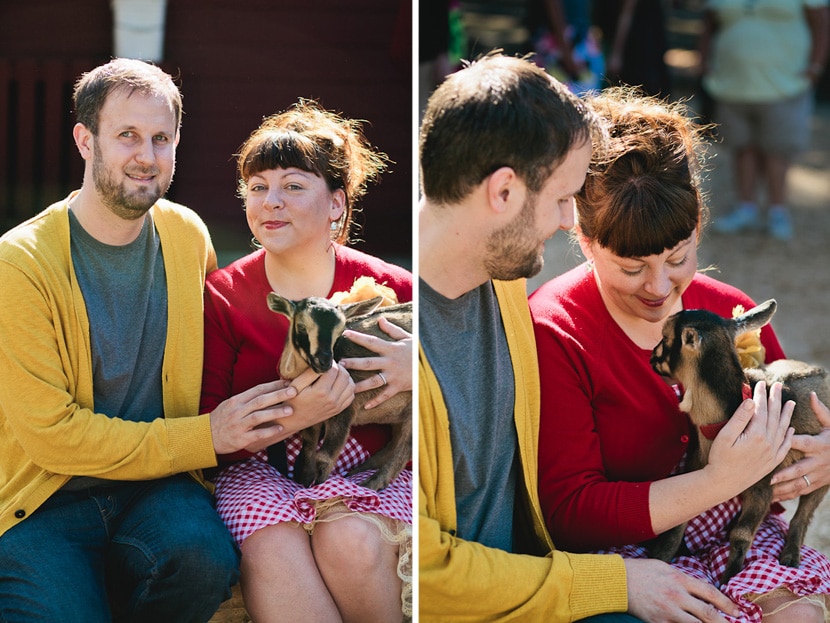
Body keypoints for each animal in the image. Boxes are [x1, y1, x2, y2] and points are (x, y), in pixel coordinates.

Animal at [266, 294, 412, 492]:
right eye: (301, 326)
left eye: (341, 330)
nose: (324, 362)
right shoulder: (312, 414)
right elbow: (309, 444)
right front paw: (304, 480)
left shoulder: (346, 408)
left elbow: (325, 456)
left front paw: (318, 487)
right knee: (395, 443)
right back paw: (358, 471)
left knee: (405, 448)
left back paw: (371, 484)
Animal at [652, 300, 828, 588]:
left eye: (665, 338)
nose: (651, 358)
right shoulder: (696, 465)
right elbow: (678, 519)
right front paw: (659, 556)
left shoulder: (765, 480)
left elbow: (743, 533)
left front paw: (729, 578)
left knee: (803, 514)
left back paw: (790, 557)